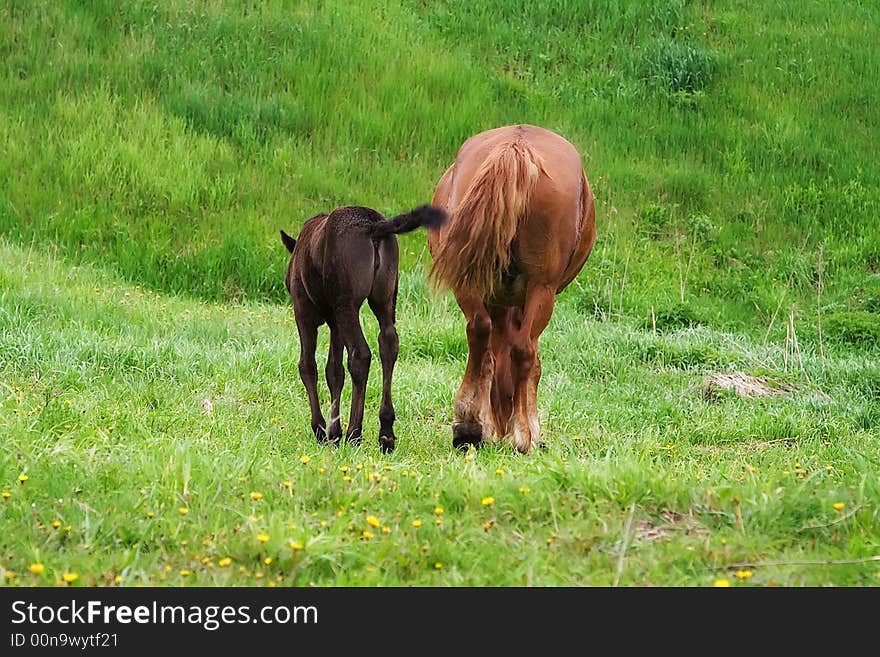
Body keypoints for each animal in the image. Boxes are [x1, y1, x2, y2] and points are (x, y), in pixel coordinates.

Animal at [282, 204, 446, 452]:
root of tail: (375, 227)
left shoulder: (304, 312)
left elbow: (308, 366)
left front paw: (321, 429)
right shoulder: (334, 322)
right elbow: (334, 371)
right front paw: (334, 431)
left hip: (347, 303)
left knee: (360, 354)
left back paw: (354, 432)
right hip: (385, 297)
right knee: (388, 344)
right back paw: (385, 431)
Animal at [428, 121, 596, 452]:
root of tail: (516, 147)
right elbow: (530, 362)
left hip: (469, 280)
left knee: (479, 331)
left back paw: (468, 423)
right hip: (542, 288)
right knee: (522, 349)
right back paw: (518, 434)